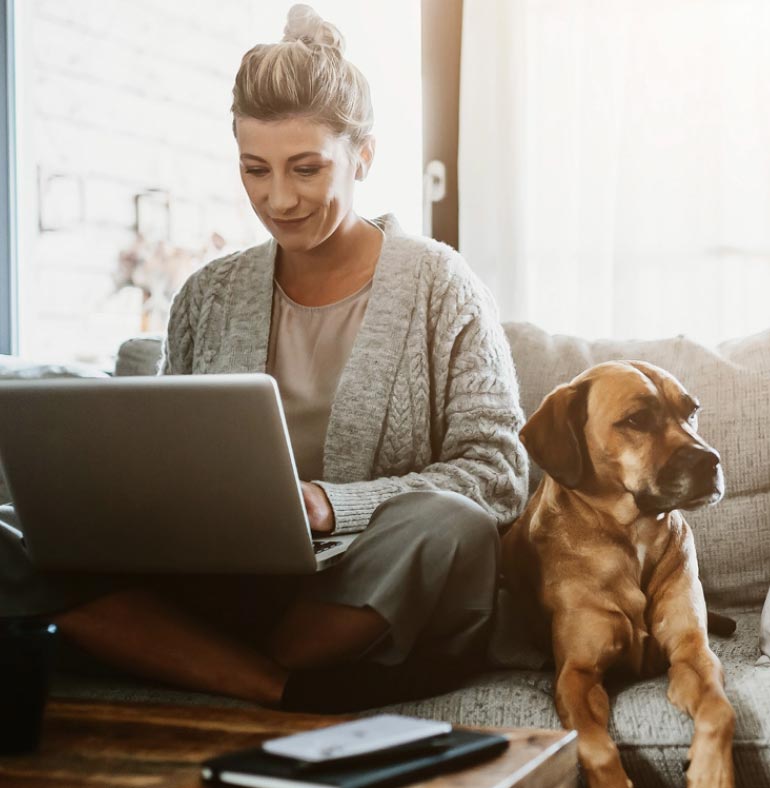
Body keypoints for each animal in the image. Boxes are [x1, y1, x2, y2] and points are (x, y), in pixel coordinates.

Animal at [500, 362, 736, 788]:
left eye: (691, 411)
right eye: (637, 419)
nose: (711, 461)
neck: (634, 536)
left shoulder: (693, 652)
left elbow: (720, 710)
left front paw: (712, 770)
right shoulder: (577, 676)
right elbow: (595, 745)